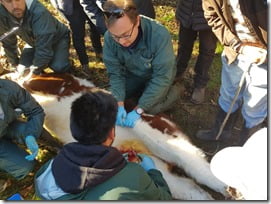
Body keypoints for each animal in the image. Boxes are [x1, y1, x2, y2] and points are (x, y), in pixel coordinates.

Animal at [1, 73, 235, 199]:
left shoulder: (51, 81)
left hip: (159, 135)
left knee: (198, 166)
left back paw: (231, 187)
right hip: (157, 169)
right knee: (192, 188)